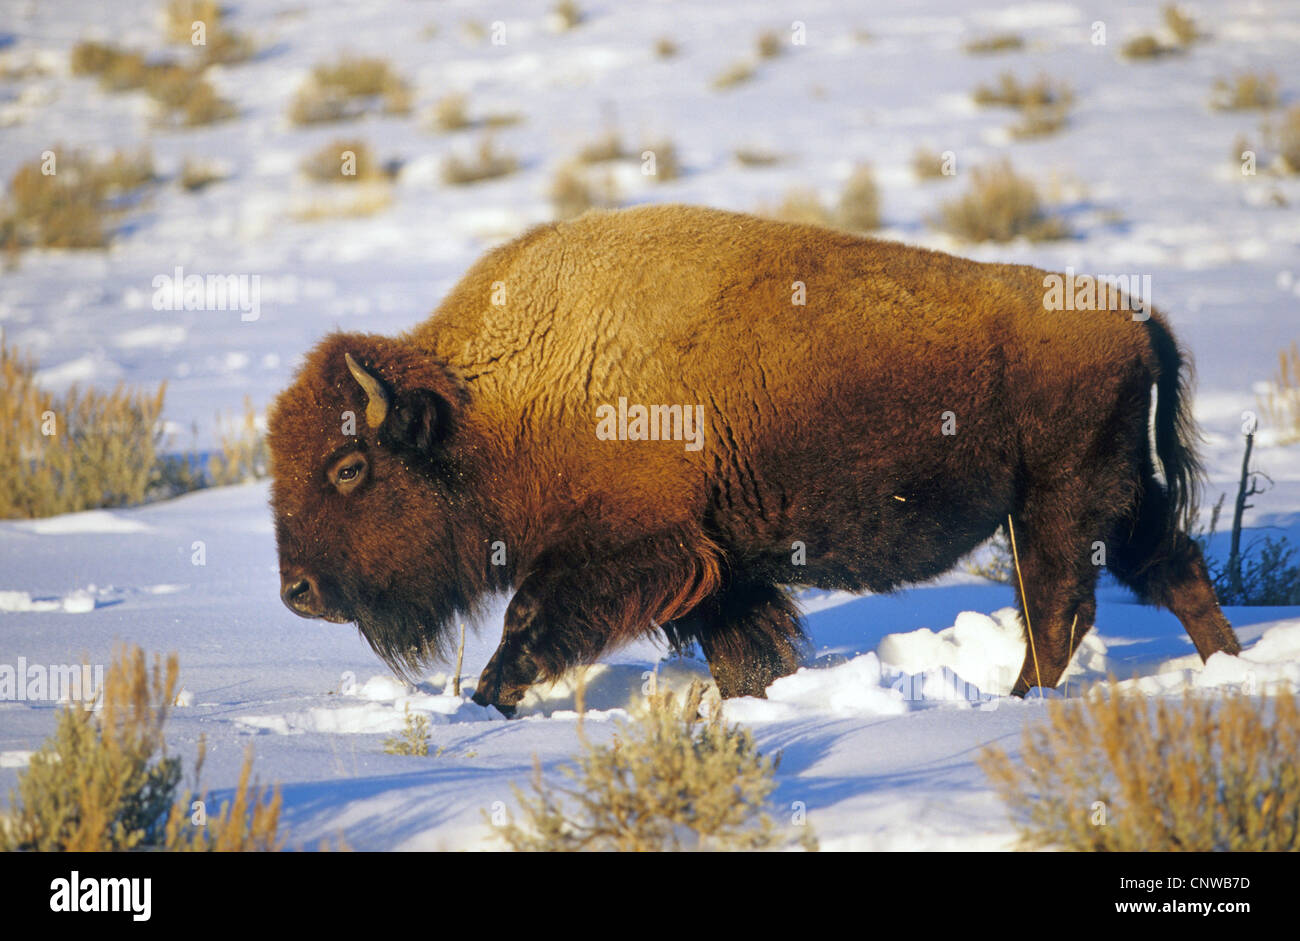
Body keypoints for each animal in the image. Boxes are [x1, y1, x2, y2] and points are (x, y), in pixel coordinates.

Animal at [268, 204, 1241, 715]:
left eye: (349, 467)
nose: (297, 592)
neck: (492, 402)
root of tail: (1135, 317)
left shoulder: (625, 550)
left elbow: (531, 619)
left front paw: (491, 698)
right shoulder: (716, 566)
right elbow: (745, 647)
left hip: (1059, 503)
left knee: (1061, 603)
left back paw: (1021, 700)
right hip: (1118, 499)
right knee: (1172, 566)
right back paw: (1226, 669)